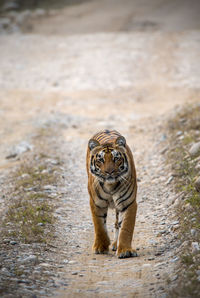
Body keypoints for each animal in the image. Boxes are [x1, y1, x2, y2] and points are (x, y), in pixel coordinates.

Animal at [86, 130, 138, 258]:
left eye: (116, 158)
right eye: (101, 160)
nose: (109, 172)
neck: (110, 185)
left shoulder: (128, 203)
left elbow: (126, 228)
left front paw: (125, 250)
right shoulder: (96, 204)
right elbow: (99, 226)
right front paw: (100, 247)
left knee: (117, 223)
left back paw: (116, 244)